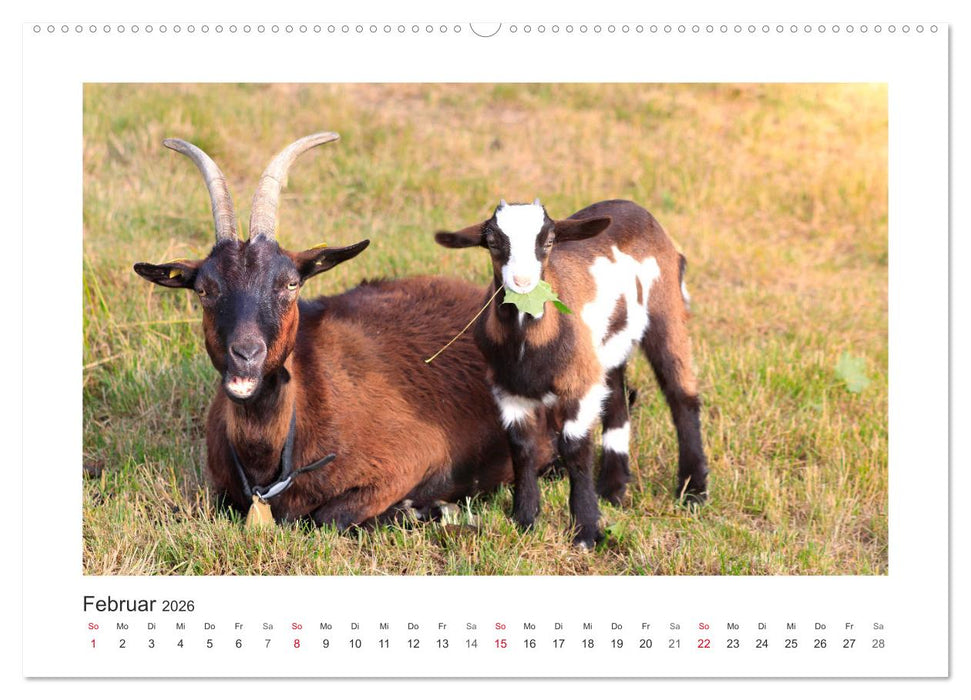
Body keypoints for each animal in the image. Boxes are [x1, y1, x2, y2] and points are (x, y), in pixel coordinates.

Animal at [134, 133, 526, 529]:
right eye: (204, 289)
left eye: (291, 284)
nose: (246, 354)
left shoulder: (413, 456)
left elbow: (329, 516)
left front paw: (429, 508)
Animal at [435, 199, 708, 548]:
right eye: (493, 241)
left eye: (549, 240)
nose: (522, 281)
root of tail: (635, 208)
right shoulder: (507, 388)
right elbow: (521, 446)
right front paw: (524, 519)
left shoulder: (578, 385)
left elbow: (575, 448)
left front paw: (586, 531)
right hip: (606, 349)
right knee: (617, 402)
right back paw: (612, 489)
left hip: (666, 309)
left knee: (680, 395)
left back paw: (693, 491)